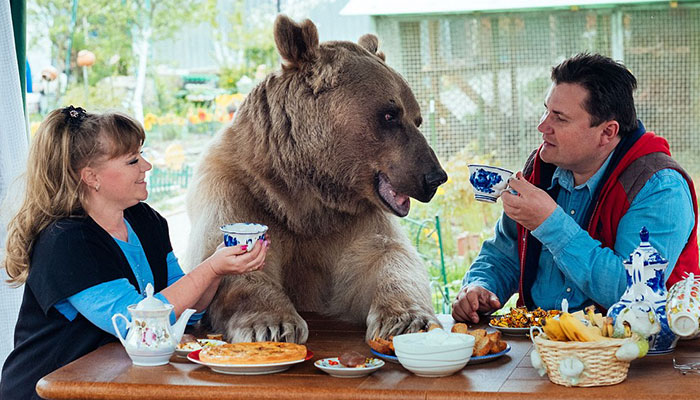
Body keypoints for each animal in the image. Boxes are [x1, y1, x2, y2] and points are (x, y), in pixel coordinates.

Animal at [184, 15, 448, 344]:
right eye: (390, 115)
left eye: (417, 118)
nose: (435, 176)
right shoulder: (237, 190)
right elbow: (232, 262)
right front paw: (272, 325)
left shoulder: (352, 221)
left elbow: (387, 258)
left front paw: (408, 320)